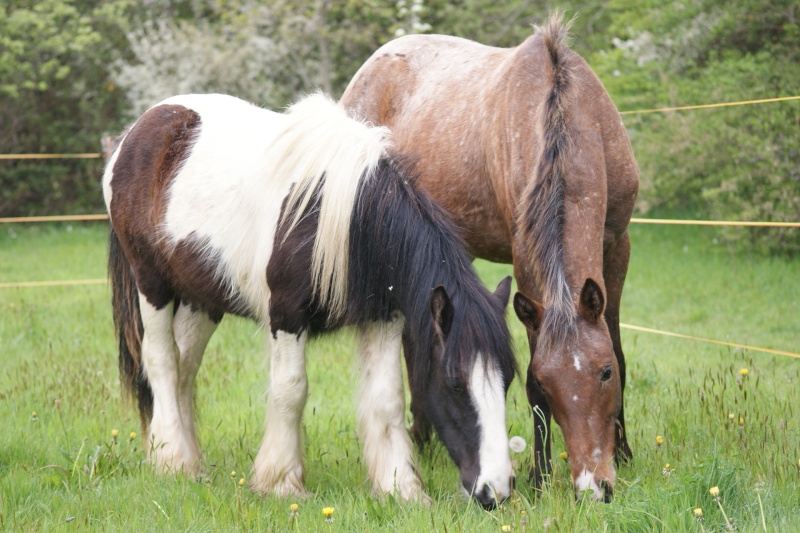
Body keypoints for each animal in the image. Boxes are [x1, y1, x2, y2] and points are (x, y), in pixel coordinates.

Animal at [104, 91, 520, 508]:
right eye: (455, 382)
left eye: (509, 379)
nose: (495, 490)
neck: (345, 219)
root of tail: (137, 131)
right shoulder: (286, 316)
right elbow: (291, 391)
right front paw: (280, 482)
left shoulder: (383, 319)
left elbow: (387, 399)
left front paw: (401, 488)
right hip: (152, 284)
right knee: (161, 361)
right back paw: (172, 460)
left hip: (202, 299)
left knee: (185, 368)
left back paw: (189, 461)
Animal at [340, 13, 640, 502]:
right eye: (547, 382)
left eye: (604, 373)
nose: (592, 485)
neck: (567, 110)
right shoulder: (526, 262)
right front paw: (540, 477)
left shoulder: (617, 247)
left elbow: (620, 345)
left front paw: (627, 453)